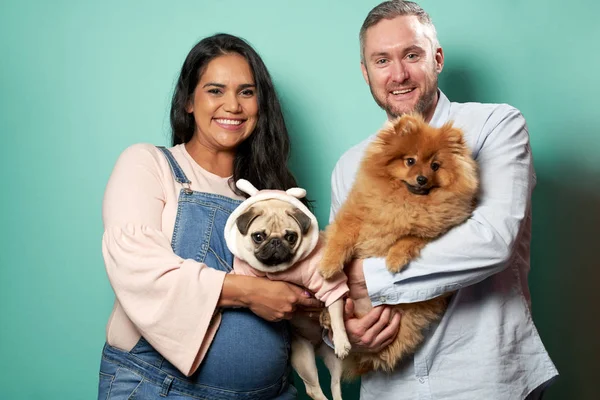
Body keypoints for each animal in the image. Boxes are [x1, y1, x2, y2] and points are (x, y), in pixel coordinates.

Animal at [318, 113, 478, 378]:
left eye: (435, 166)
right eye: (410, 161)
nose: (422, 178)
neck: (405, 201)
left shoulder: (436, 229)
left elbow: (410, 238)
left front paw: (394, 259)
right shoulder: (354, 216)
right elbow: (340, 240)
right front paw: (329, 265)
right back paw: (326, 319)